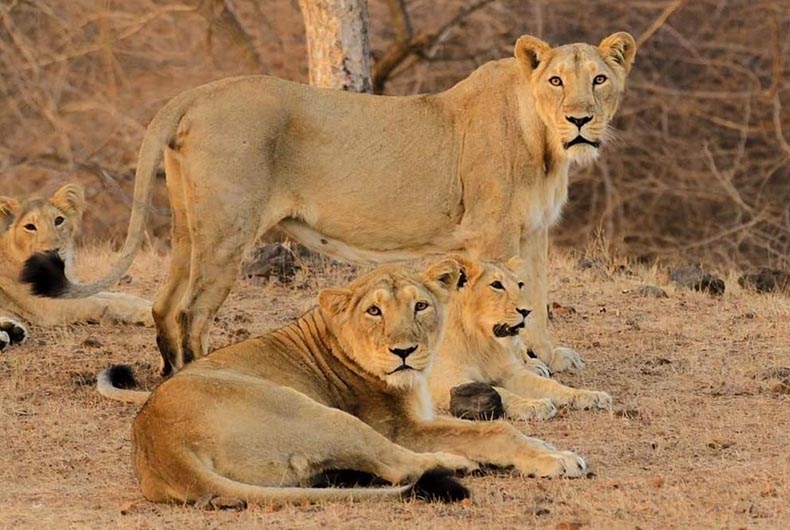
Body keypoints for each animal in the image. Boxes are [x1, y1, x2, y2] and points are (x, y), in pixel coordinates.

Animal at [0, 183, 153, 352]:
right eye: (30, 227)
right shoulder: (45, 307)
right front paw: (148, 314)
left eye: (58, 220)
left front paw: (148, 304)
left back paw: (12, 332)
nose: (53, 250)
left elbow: (117, 296)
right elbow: (98, 303)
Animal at [22, 33, 636, 376]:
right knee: (191, 311)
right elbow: (505, 300)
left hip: (187, 229)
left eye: (599, 80)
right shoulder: (492, 234)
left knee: (163, 303)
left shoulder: (533, 233)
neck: (545, 144)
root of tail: (196, 92)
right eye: (555, 81)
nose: (580, 120)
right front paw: (523, 362)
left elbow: (539, 297)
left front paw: (550, 357)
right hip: (228, 231)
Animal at [99, 260, 589, 505]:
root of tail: (159, 444)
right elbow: (494, 430)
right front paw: (556, 460)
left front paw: (550, 449)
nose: (404, 352)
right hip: (318, 412)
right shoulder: (402, 427)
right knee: (398, 466)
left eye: (421, 306)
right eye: (374, 310)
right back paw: (455, 463)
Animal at [429, 257, 612, 421]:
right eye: (496, 285)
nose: (527, 311)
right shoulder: (447, 380)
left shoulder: (511, 372)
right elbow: (501, 392)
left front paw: (591, 396)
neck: (483, 341)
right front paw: (532, 405)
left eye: (520, 285)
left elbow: (548, 385)